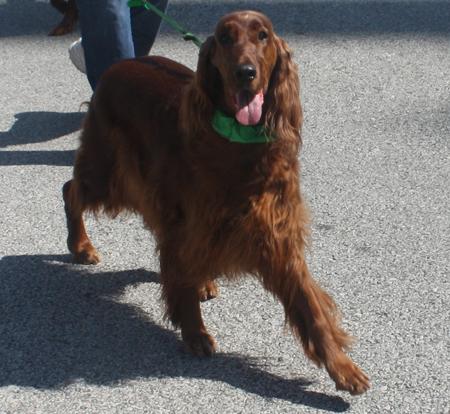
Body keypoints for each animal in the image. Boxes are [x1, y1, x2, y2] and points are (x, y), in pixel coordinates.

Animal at [64, 10, 372, 394]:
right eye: (224, 38)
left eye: (262, 36)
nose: (245, 73)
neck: (241, 144)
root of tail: (120, 64)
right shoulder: (189, 221)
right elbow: (180, 275)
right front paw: (194, 332)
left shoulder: (277, 231)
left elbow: (310, 308)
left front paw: (342, 367)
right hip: (110, 173)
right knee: (71, 189)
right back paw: (81, 246)